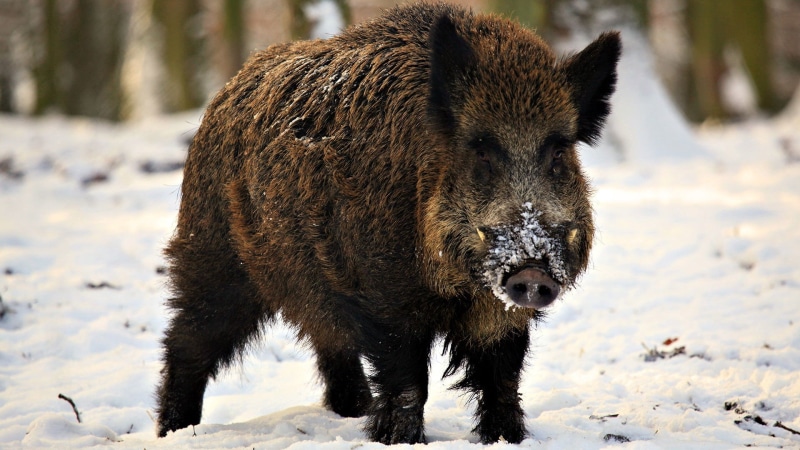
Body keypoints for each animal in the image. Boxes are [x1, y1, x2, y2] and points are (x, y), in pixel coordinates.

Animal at [155, 2, 620, 444]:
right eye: (481, 149)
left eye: (558, 151)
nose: (532, 271)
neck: (457, 285)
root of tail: (227, 91)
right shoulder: (384, 295)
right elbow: (408, 382)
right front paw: (399, 440)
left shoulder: (499, 313)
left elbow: (502, 379)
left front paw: (508, 438)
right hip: (214, 255)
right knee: (188, 339)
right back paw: (174, 431)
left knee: (329, 340)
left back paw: (353, 411)